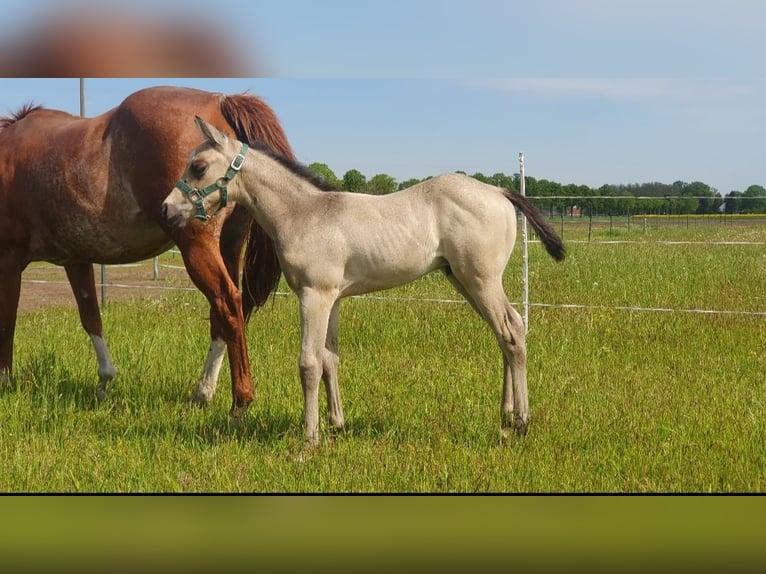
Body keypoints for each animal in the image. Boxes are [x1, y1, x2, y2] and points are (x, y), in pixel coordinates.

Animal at [0, 86, 292, 414]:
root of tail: (220, 100)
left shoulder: (8, 259)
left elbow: (6, 322)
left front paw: (5, 383)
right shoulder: (75, 260)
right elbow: (91, 318)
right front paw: (105, 381)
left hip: (196, 245)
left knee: (227, 303)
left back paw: (239, 400)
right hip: (228, 247)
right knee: (224, 315)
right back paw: (202, 392)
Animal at [162, 117, 566, 447]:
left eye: (198, 166)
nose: (166, 209)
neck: (304, 214)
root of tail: (499, 192)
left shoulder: (314, 296)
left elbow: (309, 363)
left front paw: (309, 441)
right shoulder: (334, 299)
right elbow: (330, 358)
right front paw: (336, 424)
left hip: (482, 281)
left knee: (512, 333)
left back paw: (521, 423)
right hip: (465, 282)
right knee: (506, 333)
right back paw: (506, 418)